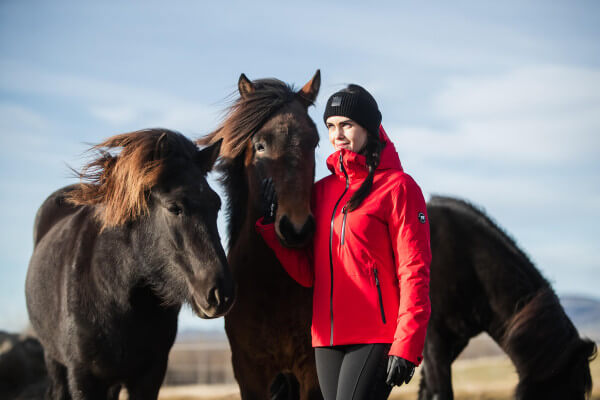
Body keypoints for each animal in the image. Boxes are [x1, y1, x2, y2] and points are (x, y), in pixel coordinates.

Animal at [26, 130, 237, 398]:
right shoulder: (82, 377)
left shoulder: (150, 375)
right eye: (174, 207)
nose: (221, 294)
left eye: (217, 204)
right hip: (54, 361)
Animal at [198, 70, 324, 398]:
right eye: (260, 145)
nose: (296, 228)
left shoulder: (312, 370)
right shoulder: (249, 372)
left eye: (315, 142)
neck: (274, 284)